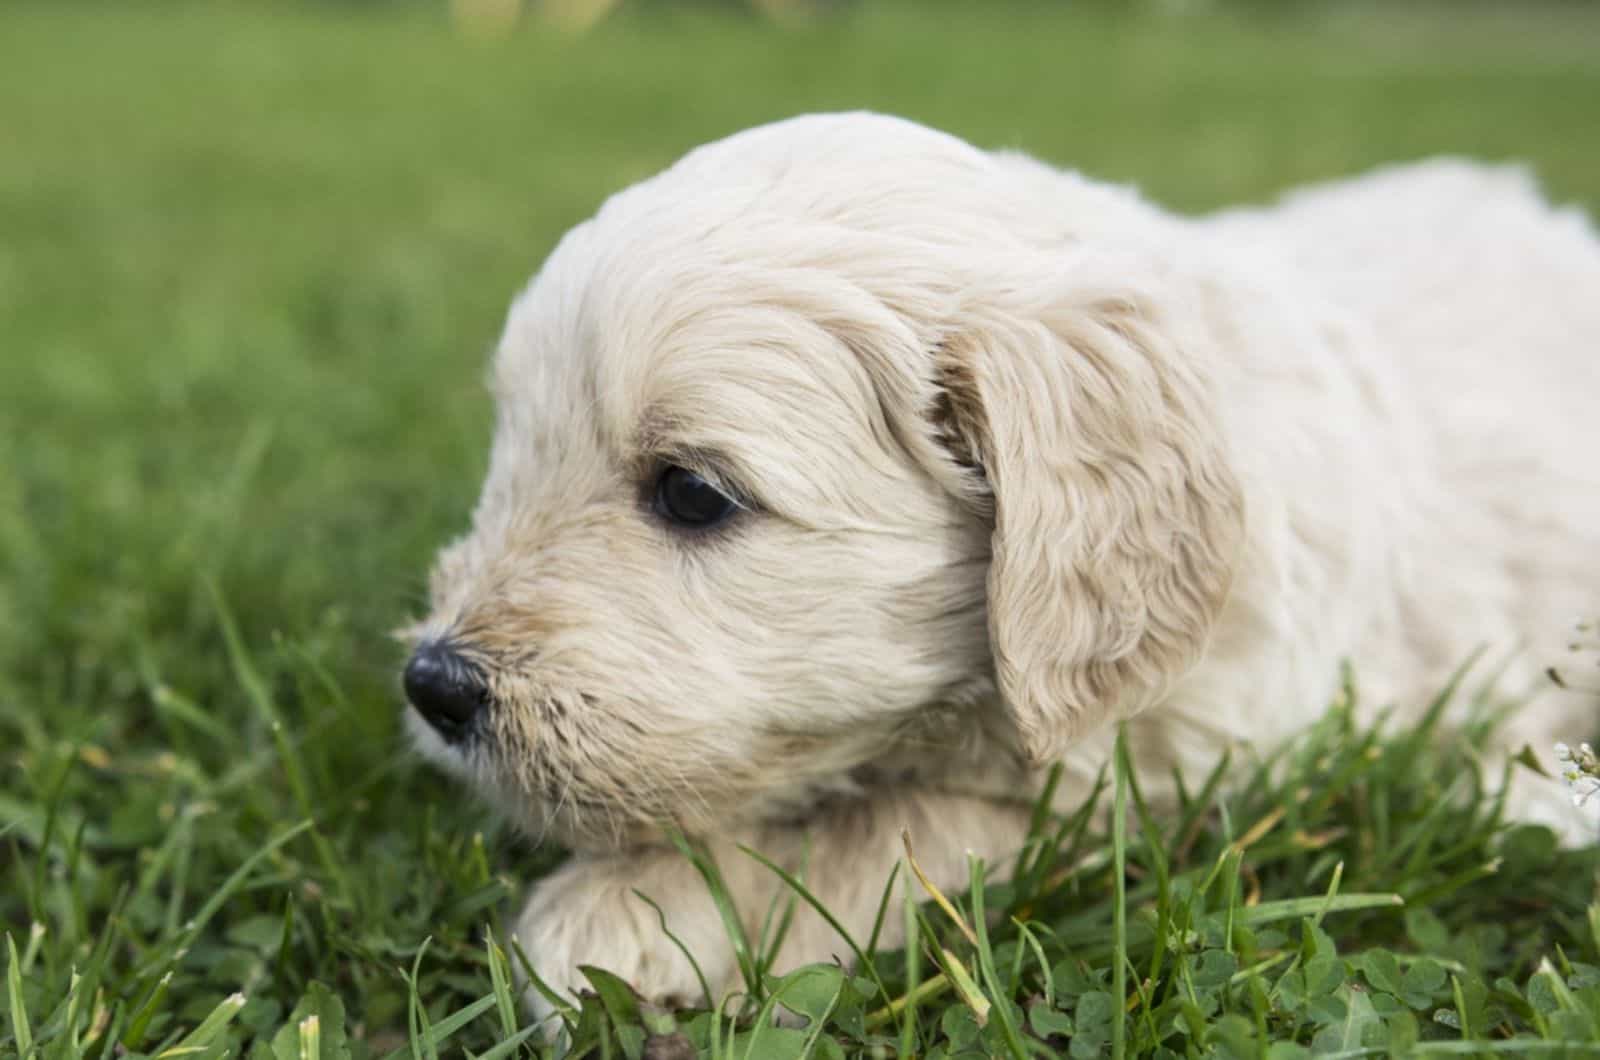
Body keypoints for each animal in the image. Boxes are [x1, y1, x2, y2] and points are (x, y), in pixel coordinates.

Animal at [403, 114, 1600, 1024]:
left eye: (692, 492)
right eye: (514, 451)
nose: (434, 685)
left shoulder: (1187, 776)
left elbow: (899, 826)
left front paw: (630, 913)